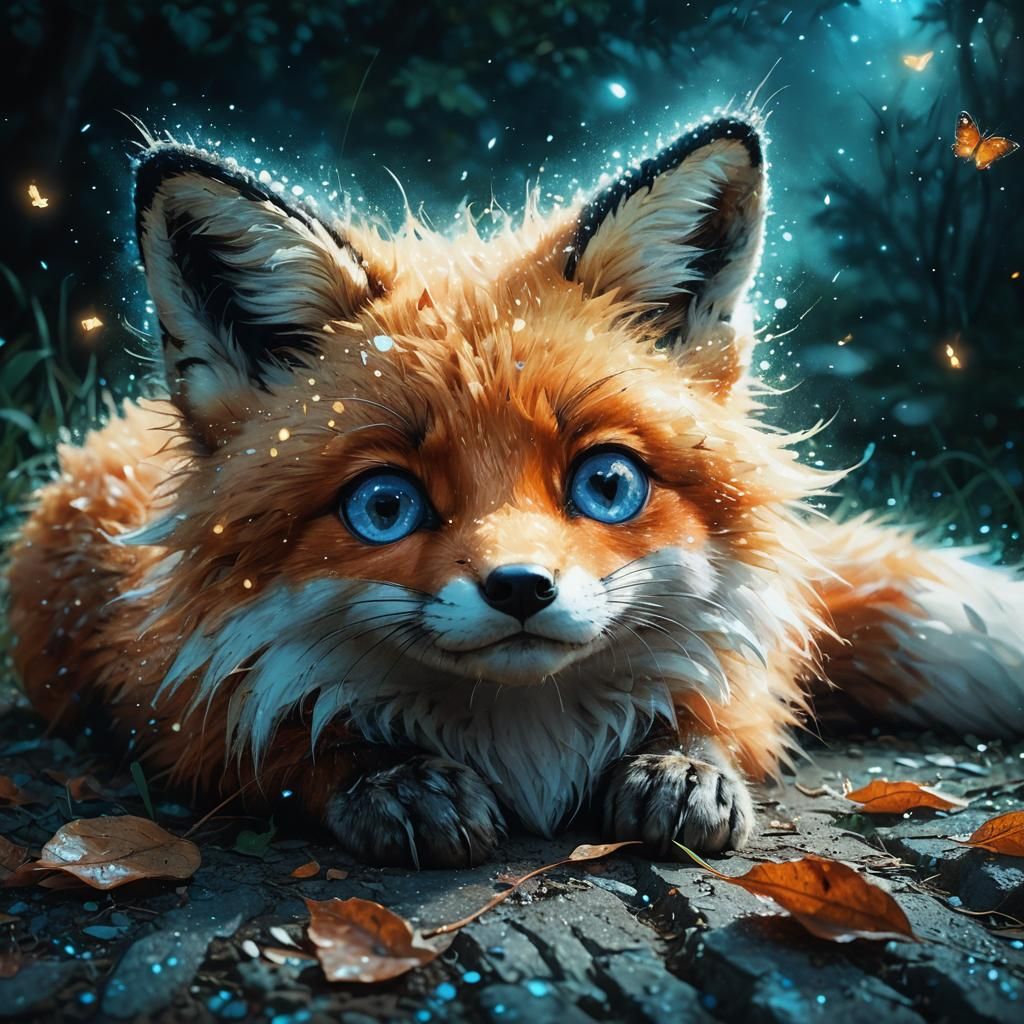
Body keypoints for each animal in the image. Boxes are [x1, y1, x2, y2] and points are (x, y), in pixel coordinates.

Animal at [7, 114, 1024, 868]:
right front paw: (390, 775)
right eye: (384, 507)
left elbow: (730, 713)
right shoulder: (167, 687)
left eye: (607, 483)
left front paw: (683, 761)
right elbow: (282, 745)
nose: (521, 589)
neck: (524, 741)